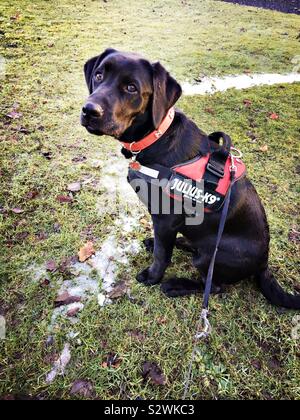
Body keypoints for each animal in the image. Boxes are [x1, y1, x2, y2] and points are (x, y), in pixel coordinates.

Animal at [81, 48, 298, 308]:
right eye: (99, 75)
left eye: (131, 88)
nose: (89, 110)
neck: (156, 136)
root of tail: (264, 265)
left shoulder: (165, 219)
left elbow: (162, 255)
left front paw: (152, 276)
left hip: (211, 256)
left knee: (215, 286)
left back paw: (177, 285)